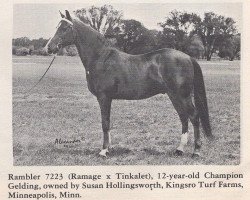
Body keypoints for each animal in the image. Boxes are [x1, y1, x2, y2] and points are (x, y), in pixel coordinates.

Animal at [45, 10, 213, 158]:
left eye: (64, 28)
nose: (48, 47)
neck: (101, 58)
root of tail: (188, 57)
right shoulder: (106, 98)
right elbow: (107, 123)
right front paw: (109, 148)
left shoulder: (104, 97)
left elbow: (105, 123)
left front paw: (103, 151)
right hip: (174, 95)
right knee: (184, 117)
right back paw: (179, 150)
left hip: (183, 95)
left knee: (194, 117)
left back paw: (196, 151)